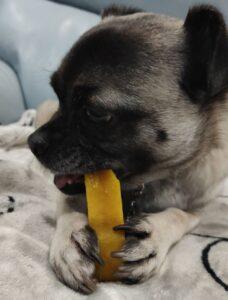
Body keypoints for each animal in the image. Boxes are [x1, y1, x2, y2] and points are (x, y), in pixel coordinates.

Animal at [27, 4, 228, 296]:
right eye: (58, 96)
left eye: (95, 113)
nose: (34, 143)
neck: (149, 183)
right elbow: (66, 204)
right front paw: (70, 238)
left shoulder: (208, 207)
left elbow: (185, 213)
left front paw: (154, 233)